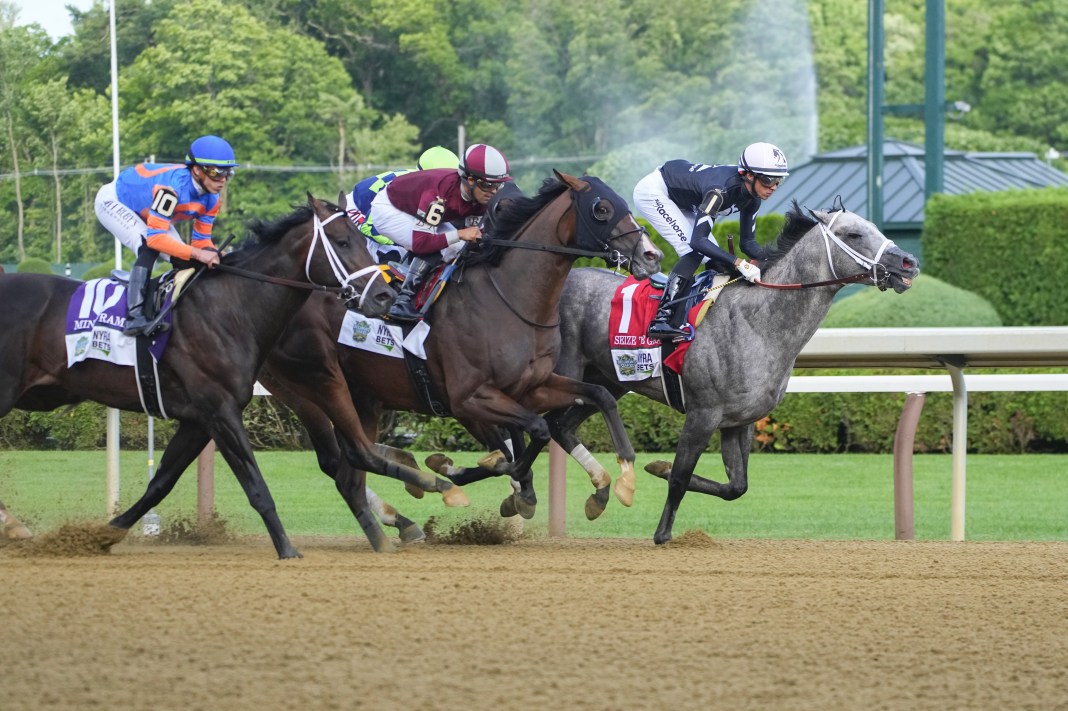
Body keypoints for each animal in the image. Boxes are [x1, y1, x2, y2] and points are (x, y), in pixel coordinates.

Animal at [0, 193, 405, 559]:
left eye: (362, 241)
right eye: (342, 241)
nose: (385, 296)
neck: (229, 309)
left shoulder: (198, 421)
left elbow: (160, 484)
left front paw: (102, 535)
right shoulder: (220, 411)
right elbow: (256, 486)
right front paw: (288, 550)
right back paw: (14, 526)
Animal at [256, 171, 663, 549]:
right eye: (601, 208)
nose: (651, 255)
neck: (508, 298)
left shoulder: (533, 385)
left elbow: (591, 401)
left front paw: (624, 479)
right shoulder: (469, 398)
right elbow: (533, 433)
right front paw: (470, 474)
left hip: (363, 394)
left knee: (354, 458)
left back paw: (402, 511)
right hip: (310, 387)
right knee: (340, 459)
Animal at [541, 200, 920, 543]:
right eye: (853, 233)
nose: (909, 262)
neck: (759, 322)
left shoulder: (738, 421)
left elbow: (737, 486)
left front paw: (657, 467)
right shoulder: (703, 413)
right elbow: (681, 476)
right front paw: (662, 530)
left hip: (606, 382)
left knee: (559, 427)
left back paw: (591, 493)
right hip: (561, 375)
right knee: (542, 427)